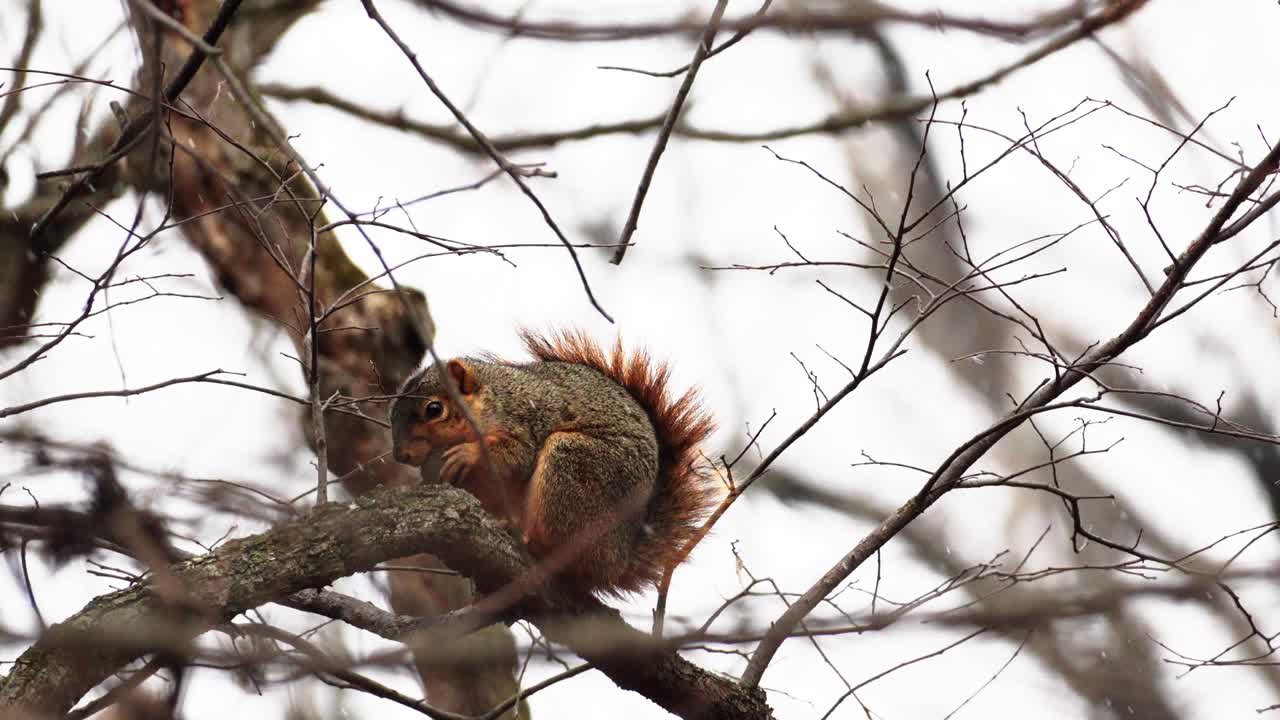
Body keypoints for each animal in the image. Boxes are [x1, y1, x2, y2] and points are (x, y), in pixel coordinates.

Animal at [389, 329, 719, 598]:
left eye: (434, 409)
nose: (401, 456)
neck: (490, 400)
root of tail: (619, 560)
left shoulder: (527, 420)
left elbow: (516, 455)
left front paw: (468, 454)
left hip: (573, 468)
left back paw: (531, 542)